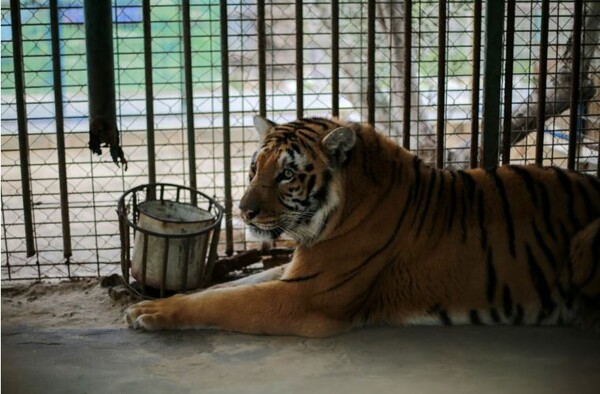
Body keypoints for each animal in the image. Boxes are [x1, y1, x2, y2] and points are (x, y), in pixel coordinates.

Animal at [123, 115, 600, 338]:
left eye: (287, 174)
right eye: (256, 167)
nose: (244, 211)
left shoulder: (305, 296)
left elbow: (224, 302)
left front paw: (153, 313)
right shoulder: (294, 270)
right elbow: (221, 287)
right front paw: (149, 305)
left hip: (586, 241)